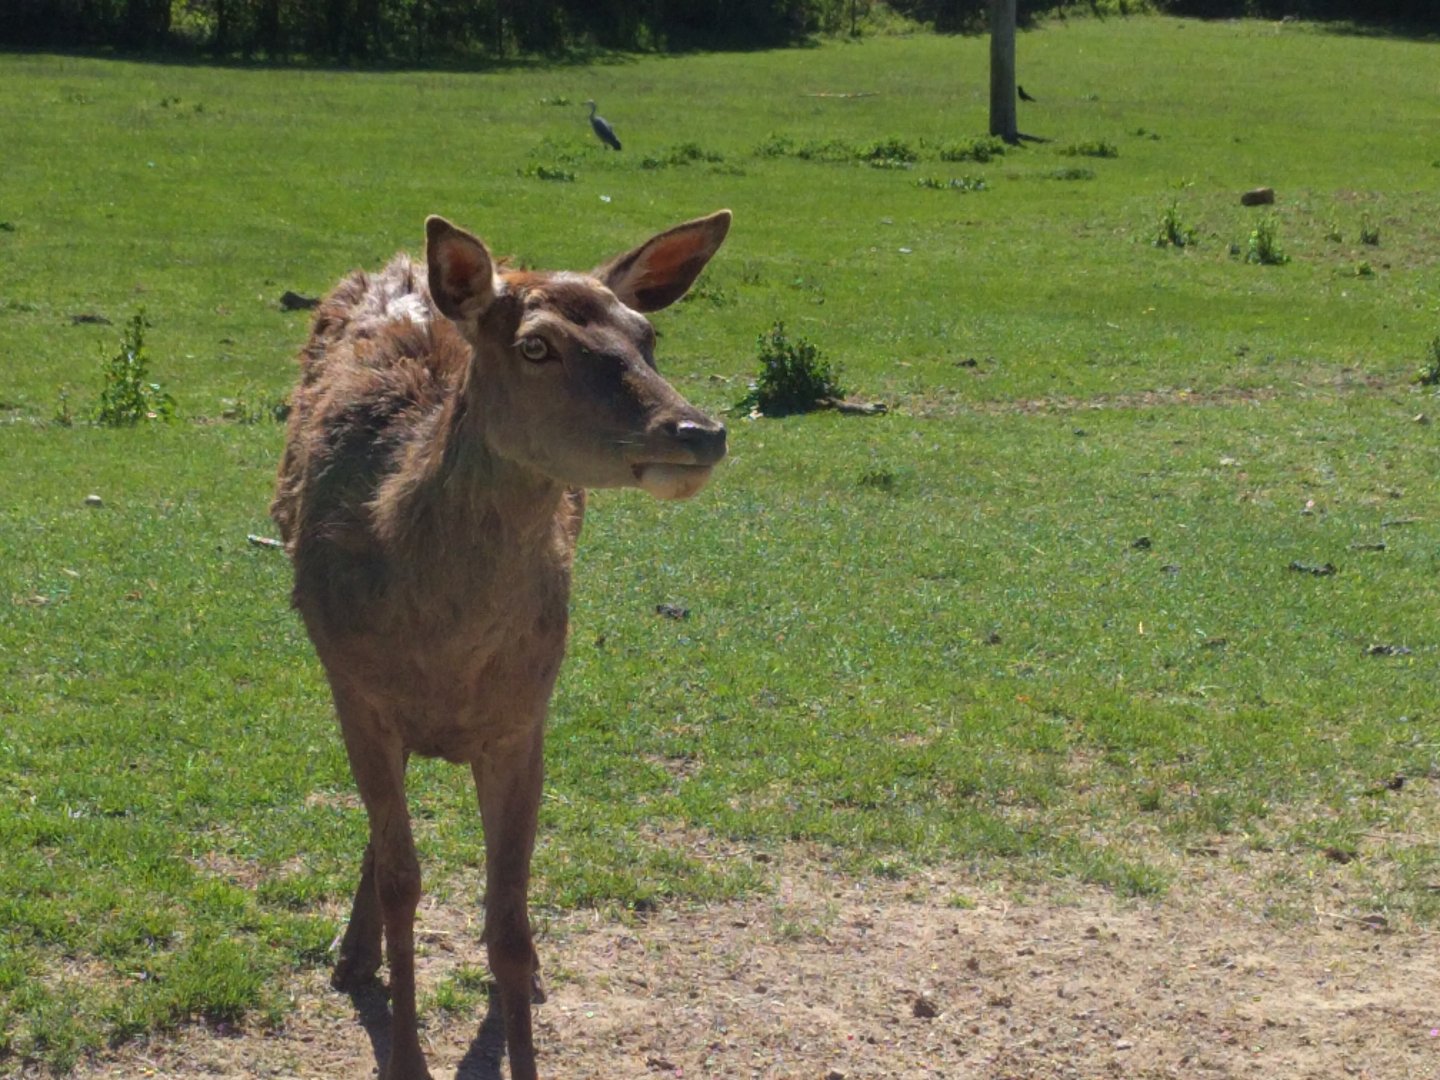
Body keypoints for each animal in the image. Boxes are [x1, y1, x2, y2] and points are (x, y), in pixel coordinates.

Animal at [270, 209, 732, 1080]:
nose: (699, 430)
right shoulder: (355, 691)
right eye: (536, 346)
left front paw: (524, 1017)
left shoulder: (526, 717)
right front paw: (404, 1055)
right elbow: (404, 881)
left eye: (648, 336)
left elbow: (509, 919)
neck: (444, 656)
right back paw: (352, 956)